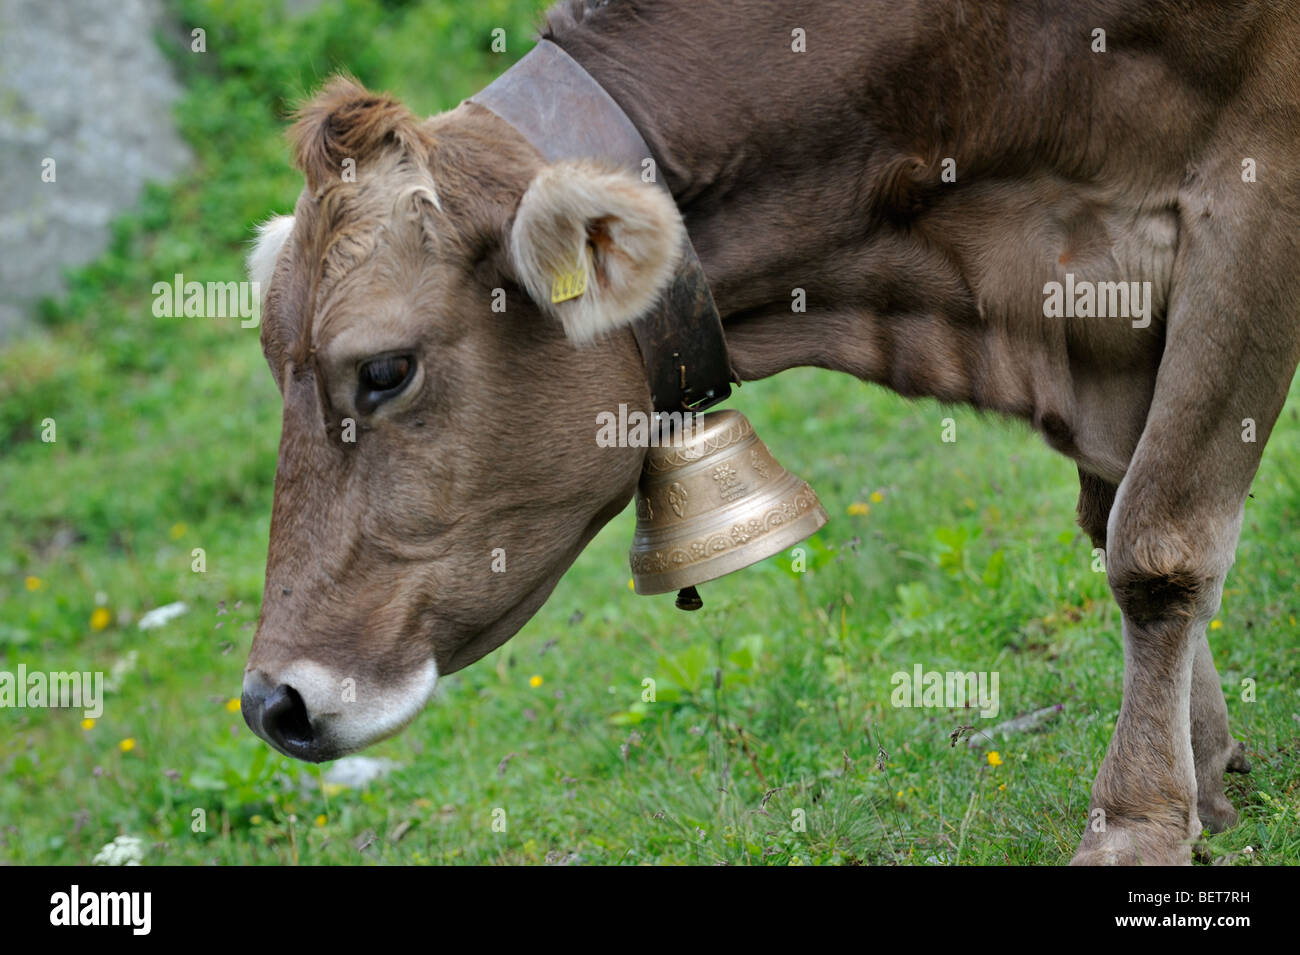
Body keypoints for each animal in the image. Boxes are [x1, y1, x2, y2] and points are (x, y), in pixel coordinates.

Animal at [239, 0, 1300, 867]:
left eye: (384, 370)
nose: (270, 702)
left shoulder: (1255, 187)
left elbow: (1155, 545)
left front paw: (1139, 820)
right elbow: (1114, 513)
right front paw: (1210, 772)